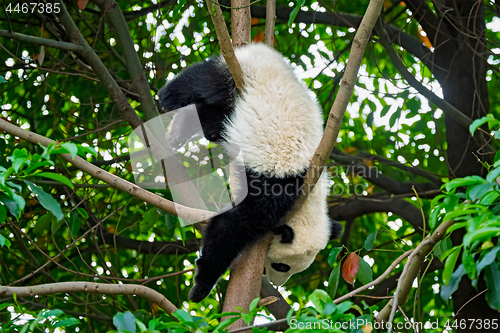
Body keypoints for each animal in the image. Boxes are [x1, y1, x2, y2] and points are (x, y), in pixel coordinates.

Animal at [158, 43, 342, 300]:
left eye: (294, 271)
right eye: (282, 266)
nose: (276, 284)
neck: (308, 201)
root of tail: (264, 50)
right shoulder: (275, 186)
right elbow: (234, 225)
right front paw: (201, 285)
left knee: (213, 118)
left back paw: (181, 129)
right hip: (240, 72)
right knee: (201, 83)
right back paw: (166, 100)